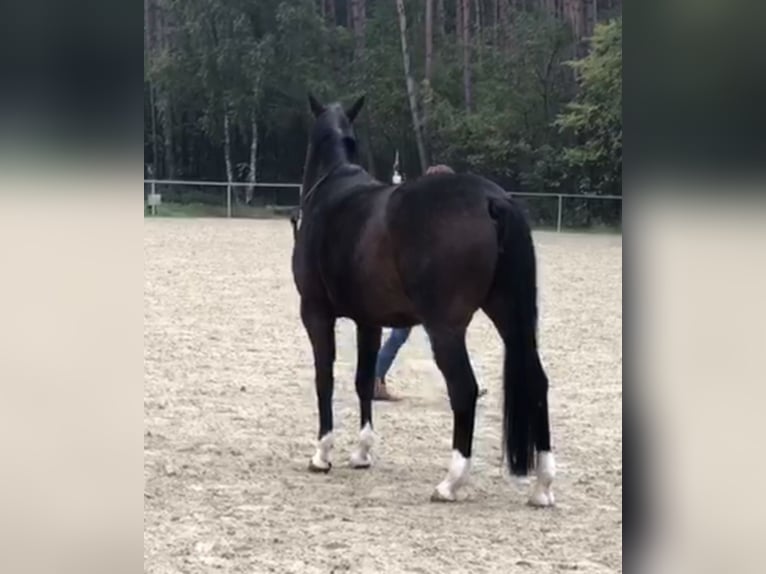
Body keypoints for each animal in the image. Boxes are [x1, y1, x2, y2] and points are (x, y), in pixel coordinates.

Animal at [291, 93, 555, 505]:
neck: (332, 190)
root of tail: (492, 199)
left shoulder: (316, 312)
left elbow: (325, 378)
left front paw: (322, 454)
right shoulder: (369, 320)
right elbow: (363, 379)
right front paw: (362, 452)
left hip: (444, 328)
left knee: (464, 389)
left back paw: (450, 482)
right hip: (510, 318)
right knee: (537, 383)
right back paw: (542, 486)